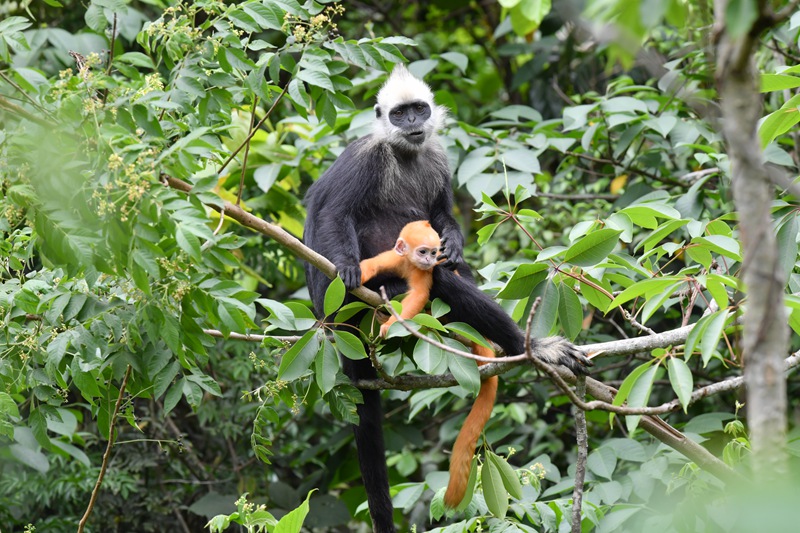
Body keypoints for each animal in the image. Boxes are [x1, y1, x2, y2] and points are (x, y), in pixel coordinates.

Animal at [360, 219, 496, 508]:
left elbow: (419, 295)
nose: (429, 260)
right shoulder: (394, 257)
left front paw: (391, 325)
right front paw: (349, 274)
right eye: (423, 251)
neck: (410, 264)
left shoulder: (425, 274)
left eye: (435, 252)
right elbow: (372, 266)